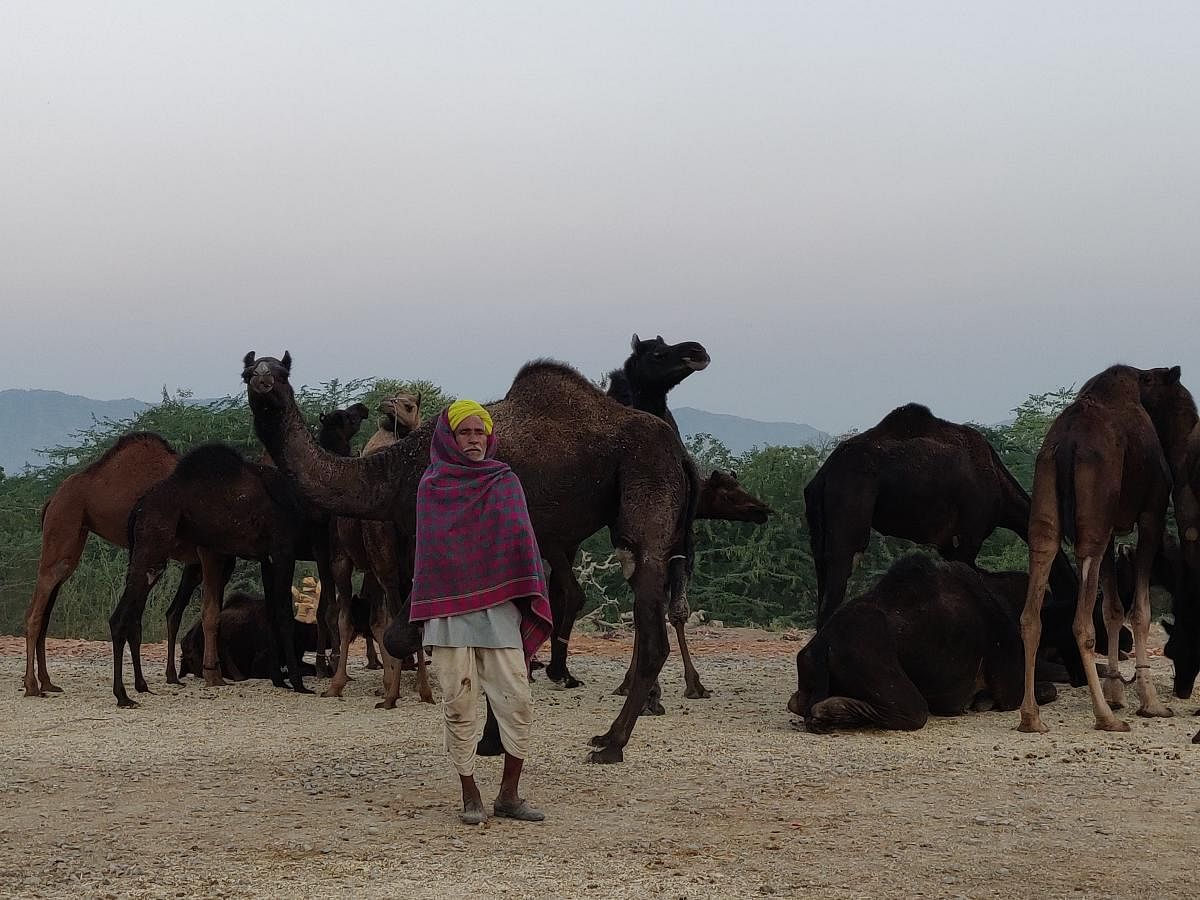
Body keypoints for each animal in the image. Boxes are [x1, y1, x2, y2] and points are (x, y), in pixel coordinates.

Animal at [23, 434, 202, 700]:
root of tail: (52, 500)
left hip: (74, 540)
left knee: (45, 611)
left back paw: (46, 682)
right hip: (62, 527)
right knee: (36, 612)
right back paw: (32, 686)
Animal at [243, 348, 696, 763]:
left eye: (281, 372)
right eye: (248, 370)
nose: (262, 381)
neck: (393, 474)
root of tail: (683, 454)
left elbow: (408, 632)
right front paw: (493, 740)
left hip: (645, 492)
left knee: (650, 624)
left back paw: (612, 743)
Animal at [1017, 362, 1195, 734]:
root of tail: (1066, 443)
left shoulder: (1112, 525)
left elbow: (1113, 608)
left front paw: (1117, 693)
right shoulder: (1151, 513)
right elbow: (1139, 612)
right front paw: (1150, 704)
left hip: (1047, 500)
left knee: (1032, 604)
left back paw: (1031, 718)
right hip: (1094, 515)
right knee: (1081, 622)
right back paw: (1105, 717)